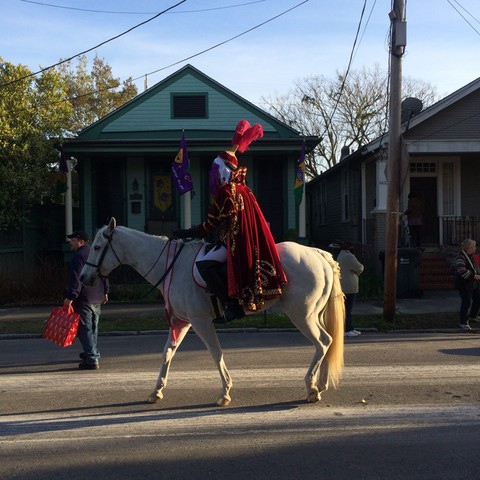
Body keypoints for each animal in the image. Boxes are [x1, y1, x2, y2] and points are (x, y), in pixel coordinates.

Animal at [79, 219, 344, 406]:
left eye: (97, 247)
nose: (83, 277)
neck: (173, 266)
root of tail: (318, 254)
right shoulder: (181, 321)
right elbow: (167, 353)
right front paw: (156, 391)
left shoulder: (200, 322)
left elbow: (216, 354)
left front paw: (224, 393)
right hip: (313, 314)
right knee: (327, 342)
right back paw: (320, 385)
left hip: (301, 314)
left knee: (322, 342)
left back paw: (311, 388)